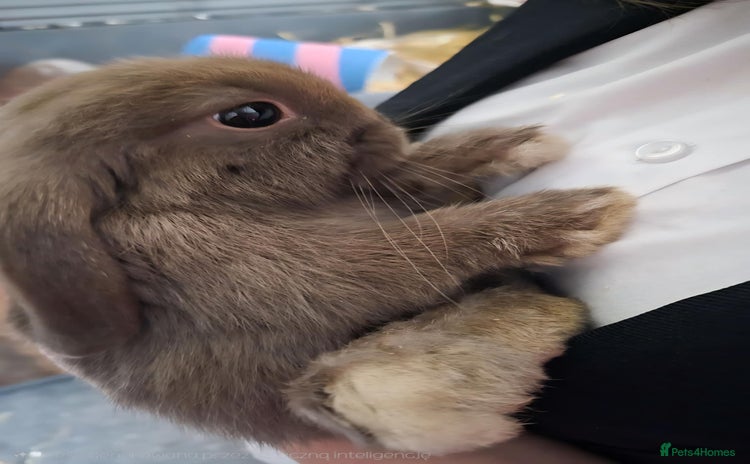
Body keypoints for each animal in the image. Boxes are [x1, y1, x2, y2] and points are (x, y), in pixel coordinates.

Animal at [0, 56, 635, 455]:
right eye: (250, 115)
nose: (379, 129)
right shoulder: (279, 270)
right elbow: (415, 248)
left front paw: (516, 144)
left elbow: (413, 175)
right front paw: (580, 214)